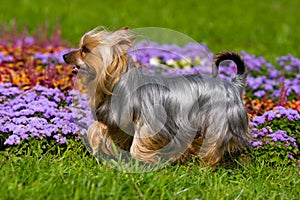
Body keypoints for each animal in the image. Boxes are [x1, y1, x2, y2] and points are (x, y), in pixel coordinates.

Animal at [63, 26, 251, 166]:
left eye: (85, 50)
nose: (64, 55)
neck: (116, 82)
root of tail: (233, 85)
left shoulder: (149, 122)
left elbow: (138, 144)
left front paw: (146, 160)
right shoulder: (117, 122)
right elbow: (97, 129)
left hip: (218, 122)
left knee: (213, 145)